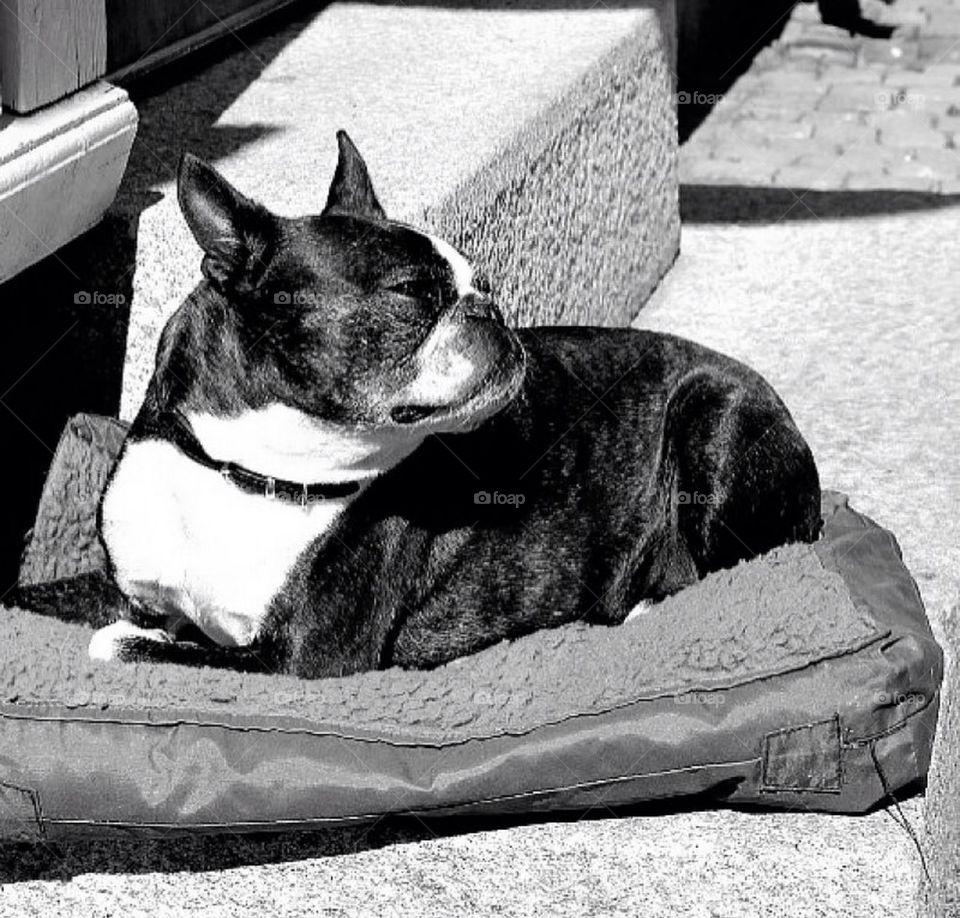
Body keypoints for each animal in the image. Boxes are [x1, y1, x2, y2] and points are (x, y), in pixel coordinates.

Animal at [90, 131, 820, 676]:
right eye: (412, 291)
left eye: (483, 283)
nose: (490, 307)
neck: (243, 473)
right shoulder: (147, 598)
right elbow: (139, 628)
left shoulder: (303, 659)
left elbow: (127, 648)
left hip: (713, 416)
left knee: (740, 567)